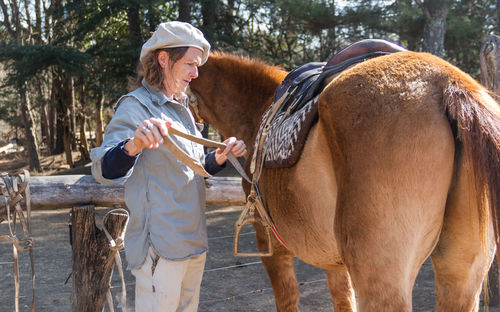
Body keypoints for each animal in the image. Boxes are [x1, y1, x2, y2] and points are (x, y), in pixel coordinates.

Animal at [188, 51, 500, 312]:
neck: (257, 114)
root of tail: (445, 83)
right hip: (461, 271)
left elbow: (288, 299)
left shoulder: (272, 246)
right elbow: (342, 299)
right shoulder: (334, 262)